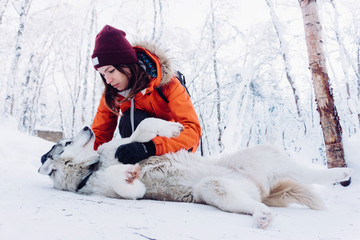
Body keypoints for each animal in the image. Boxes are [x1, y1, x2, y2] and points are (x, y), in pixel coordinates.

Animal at [38, 118, 352, 229]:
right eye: (66, 141)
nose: (87, 128)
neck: (93, 166)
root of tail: (260, 188)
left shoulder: (126, 144)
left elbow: (144, 128)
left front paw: (172, 128)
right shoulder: (121, 190)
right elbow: (130, 186)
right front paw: (128, 173)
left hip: (266, 156)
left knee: (310, 174)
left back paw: (342, 173)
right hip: (216, 189)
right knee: (255, 203)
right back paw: (262, 216)